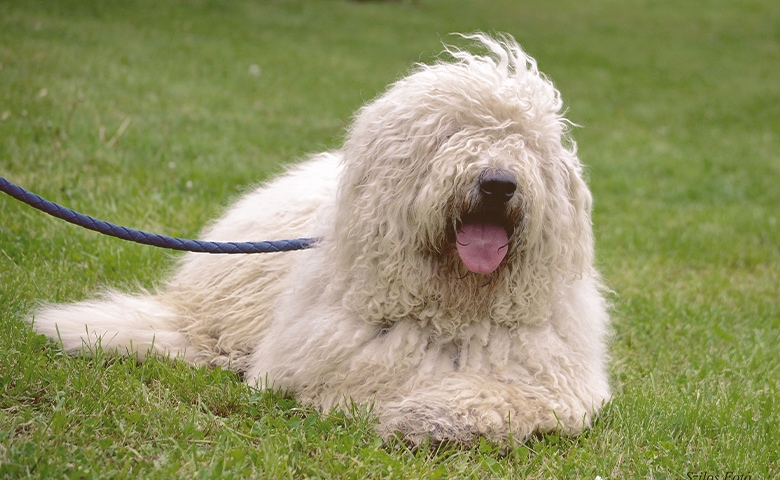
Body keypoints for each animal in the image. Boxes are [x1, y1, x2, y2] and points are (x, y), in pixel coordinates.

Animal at [30, 33, 612, 446]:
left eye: (524, 142)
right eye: (449, 135)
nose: (497, 182)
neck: (455, 309)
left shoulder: (560, 387)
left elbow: (502, 396)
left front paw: (431, 415)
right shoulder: (328, 366)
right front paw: (417, 413)